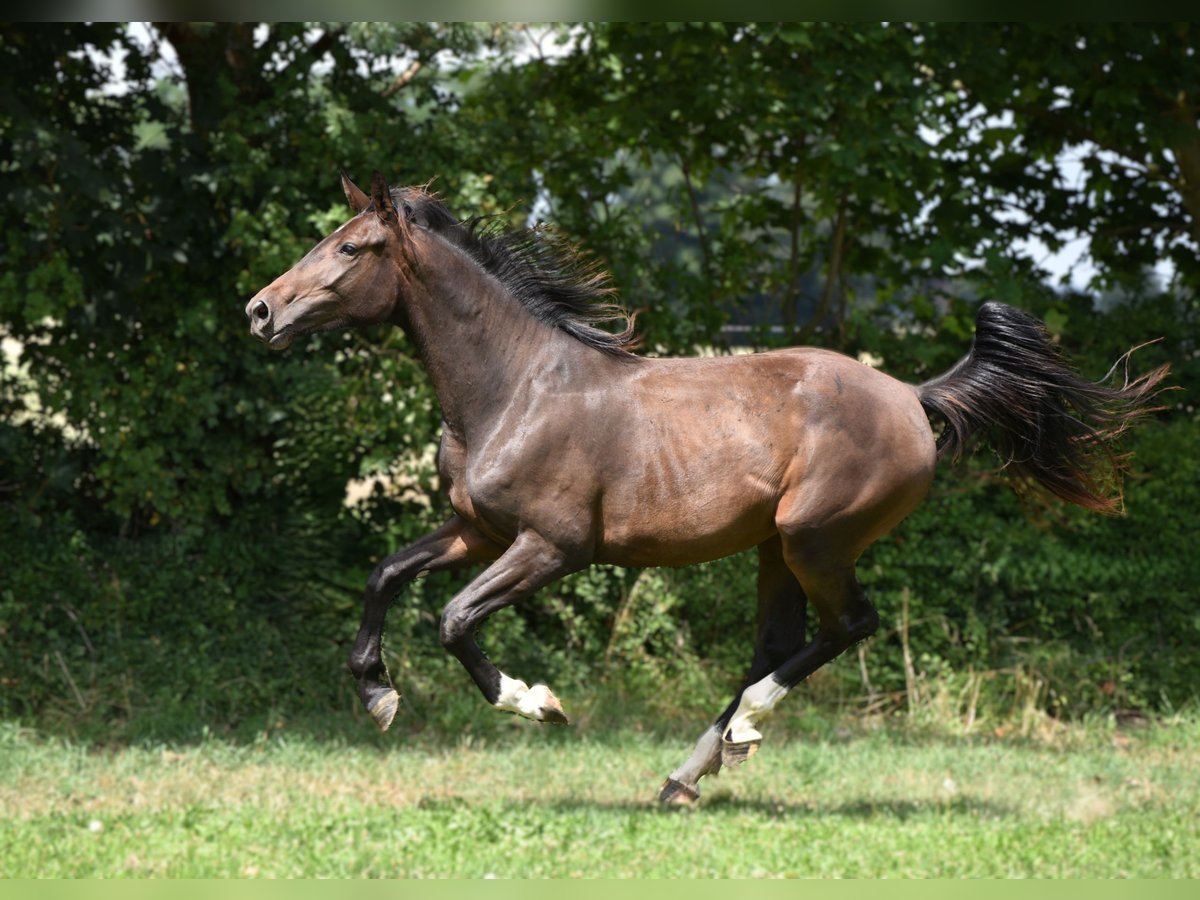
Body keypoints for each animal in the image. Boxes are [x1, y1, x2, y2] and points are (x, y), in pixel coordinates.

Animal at [246, 172, 1171, 806]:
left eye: (350, 248)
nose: (260, 310)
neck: (513, 389)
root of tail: (913, 397)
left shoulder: (552, 547)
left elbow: (454, 618)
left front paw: (535, 703)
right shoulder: (477, 531)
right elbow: (385, 576)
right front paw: (378, 697)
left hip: (814, 539)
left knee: (846, 628)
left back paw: (742, 732)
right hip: (773, 548)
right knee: (781, 643)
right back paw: (688, 774)